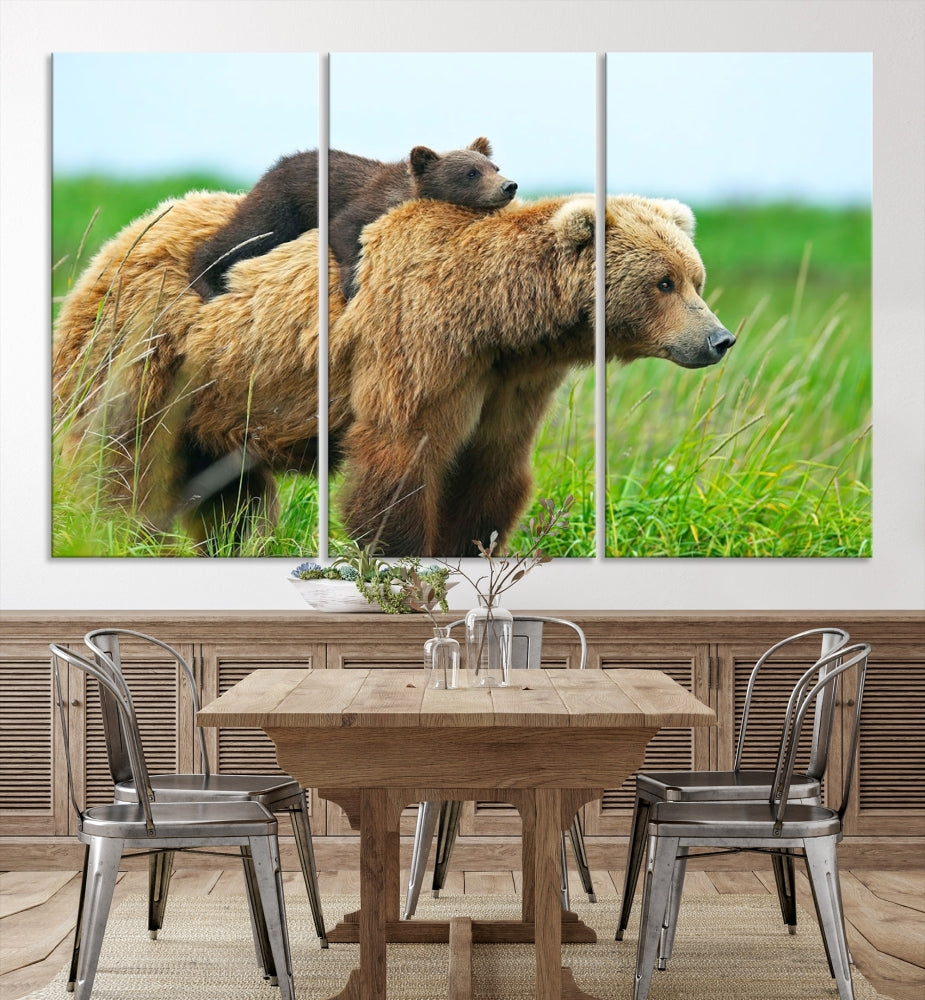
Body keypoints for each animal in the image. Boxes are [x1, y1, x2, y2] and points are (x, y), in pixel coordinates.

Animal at [53, 190, 734, 556]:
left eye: (695, 278)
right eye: (664, 282)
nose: (719, 339)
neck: (497, 320)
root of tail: (113, 244)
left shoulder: (508, 383)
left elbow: (491, 471)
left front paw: (469, 547)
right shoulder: (419, 346)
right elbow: (402, 457)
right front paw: (401, 552)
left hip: (220, 402)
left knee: (231, 496)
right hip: (145, 353)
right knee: (121, 458)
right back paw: (113, 532)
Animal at [188, 138, 517, 302]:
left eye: (494, 166)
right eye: (471, 173)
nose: (509, 186)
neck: (405, 192)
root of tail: (275, 165)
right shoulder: (366, 203)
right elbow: (345, 229)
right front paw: (352, 285)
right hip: (282, 204)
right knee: (248, 233)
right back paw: (207, 283)